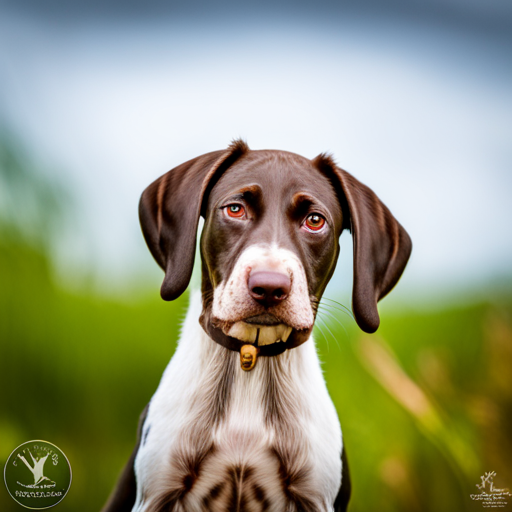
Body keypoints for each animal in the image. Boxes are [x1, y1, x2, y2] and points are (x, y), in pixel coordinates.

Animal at [103, 140, 412, 512]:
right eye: (235, 209)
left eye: (315, 221)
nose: (269, 287)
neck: (250, 357)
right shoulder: (157, 493)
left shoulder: (315, 496)